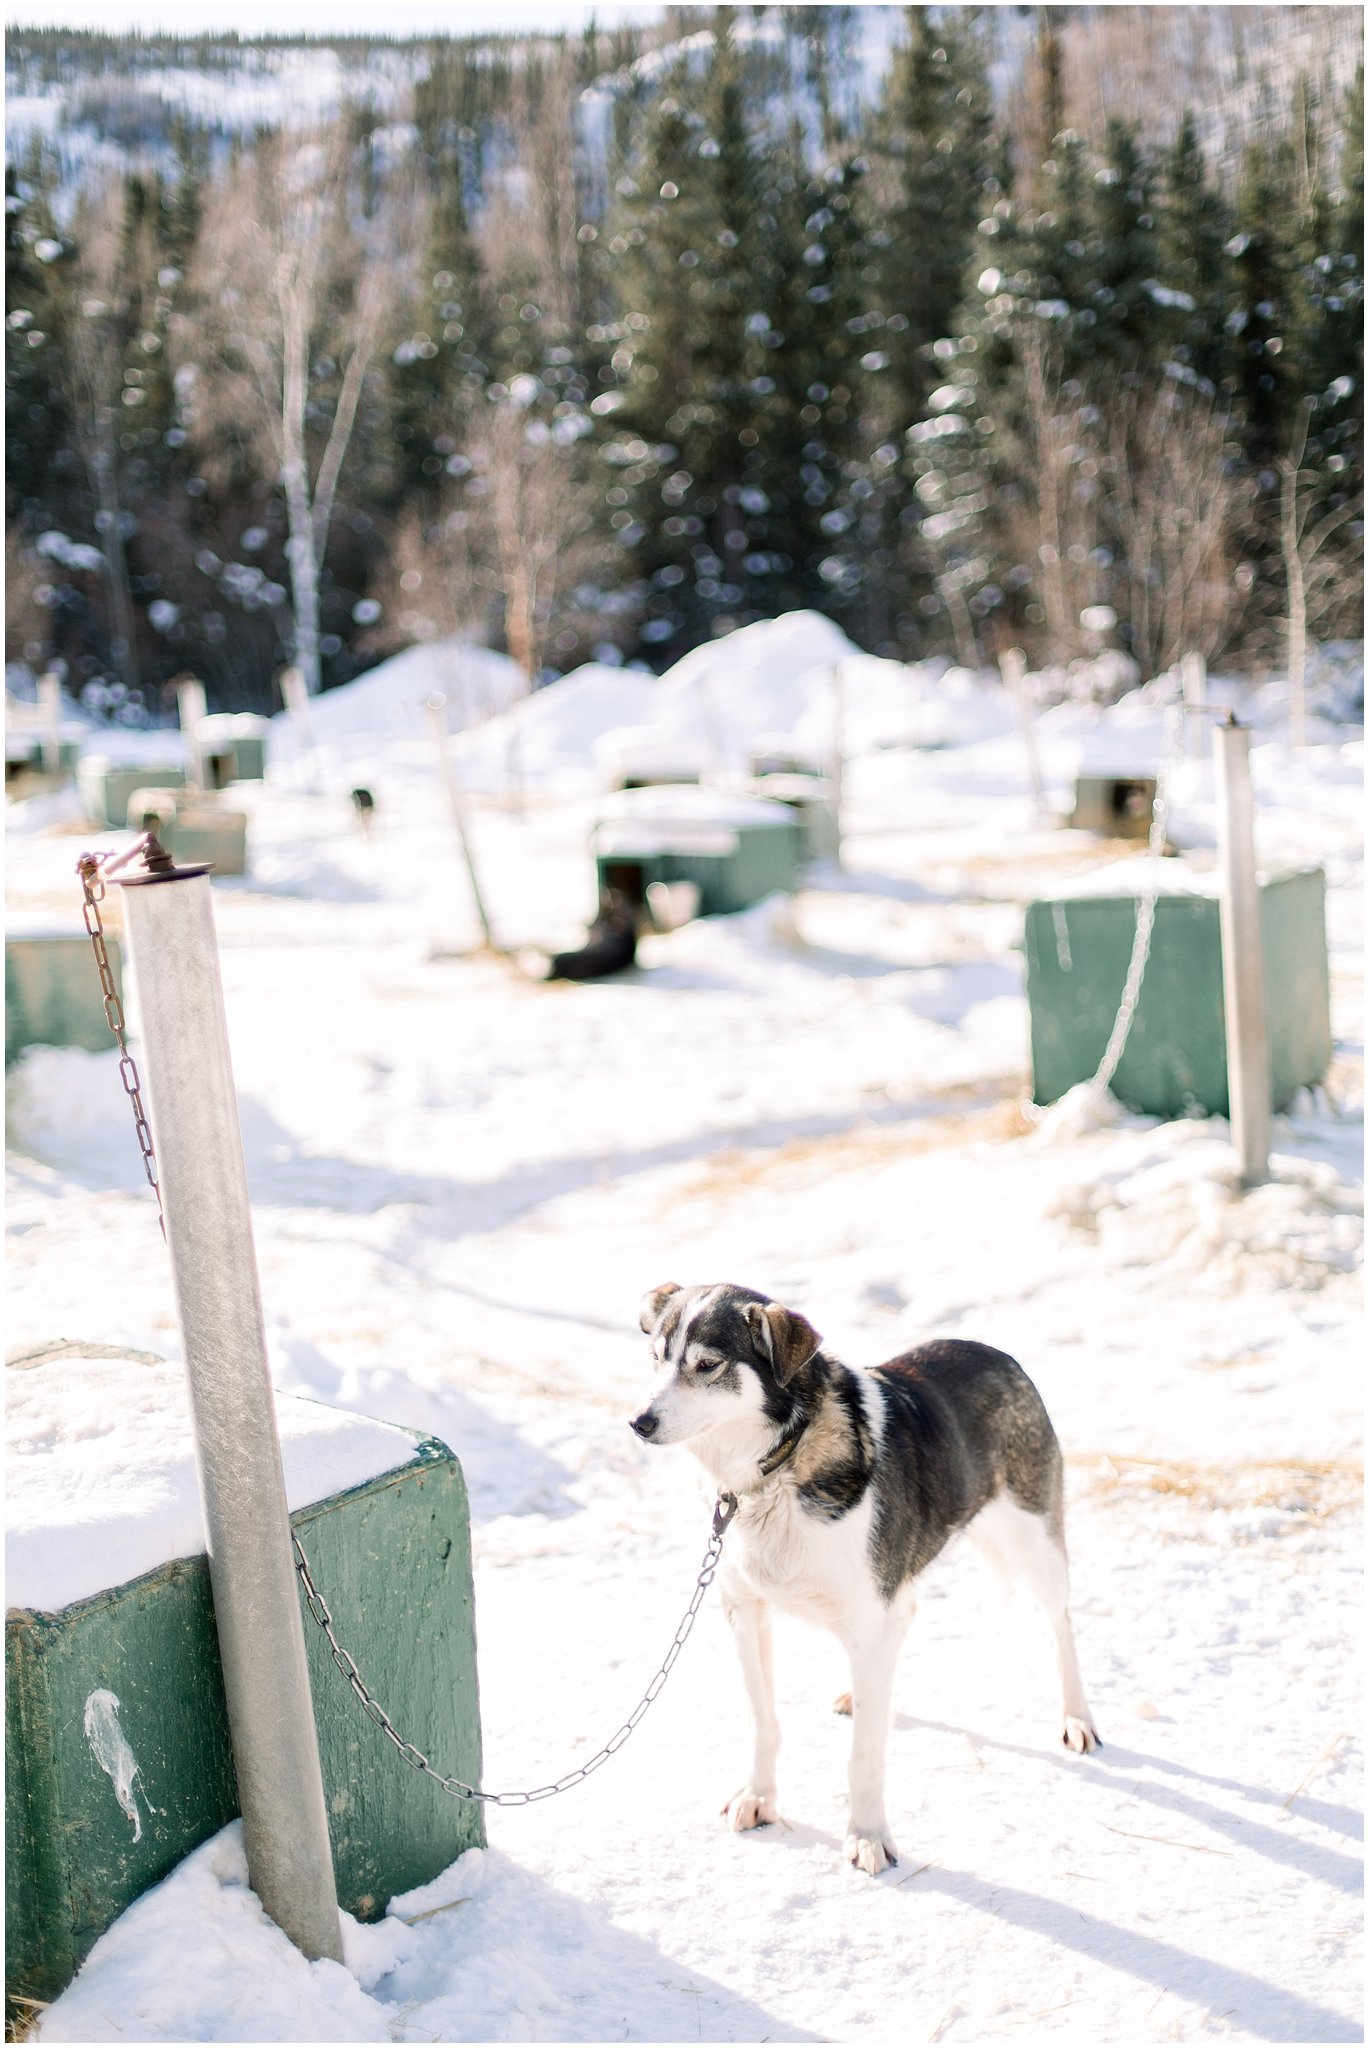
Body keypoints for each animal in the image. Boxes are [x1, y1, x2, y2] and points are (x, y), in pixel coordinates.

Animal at [631, 1277, 1098, 1875]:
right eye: (656, 1358)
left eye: (708, 1364)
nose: (638, 1422)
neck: (780, 1466)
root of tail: (995, 1353)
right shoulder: (745, 1611)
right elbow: (764, 1721)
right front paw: (760, 1797)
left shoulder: (869, 1619)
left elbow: (864, 1757)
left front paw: (868, 1836)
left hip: (1036, 1546)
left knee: (1061, 1626)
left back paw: (1077, 1718)